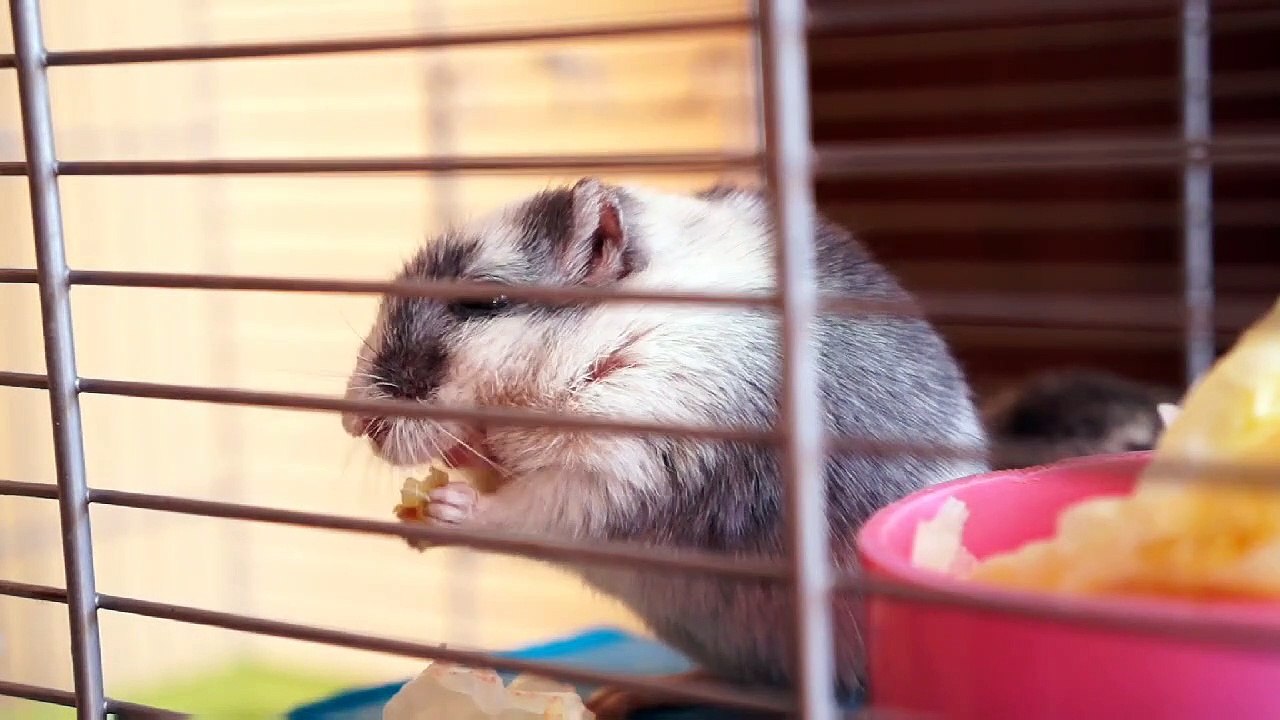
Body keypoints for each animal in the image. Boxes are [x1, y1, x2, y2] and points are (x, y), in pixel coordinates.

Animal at [342, 178, 987, 716]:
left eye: (481, 301)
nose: (352, 421)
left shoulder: (635, 459)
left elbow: (534, 511)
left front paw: (444, 510)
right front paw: (446, 475)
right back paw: (629, 694)